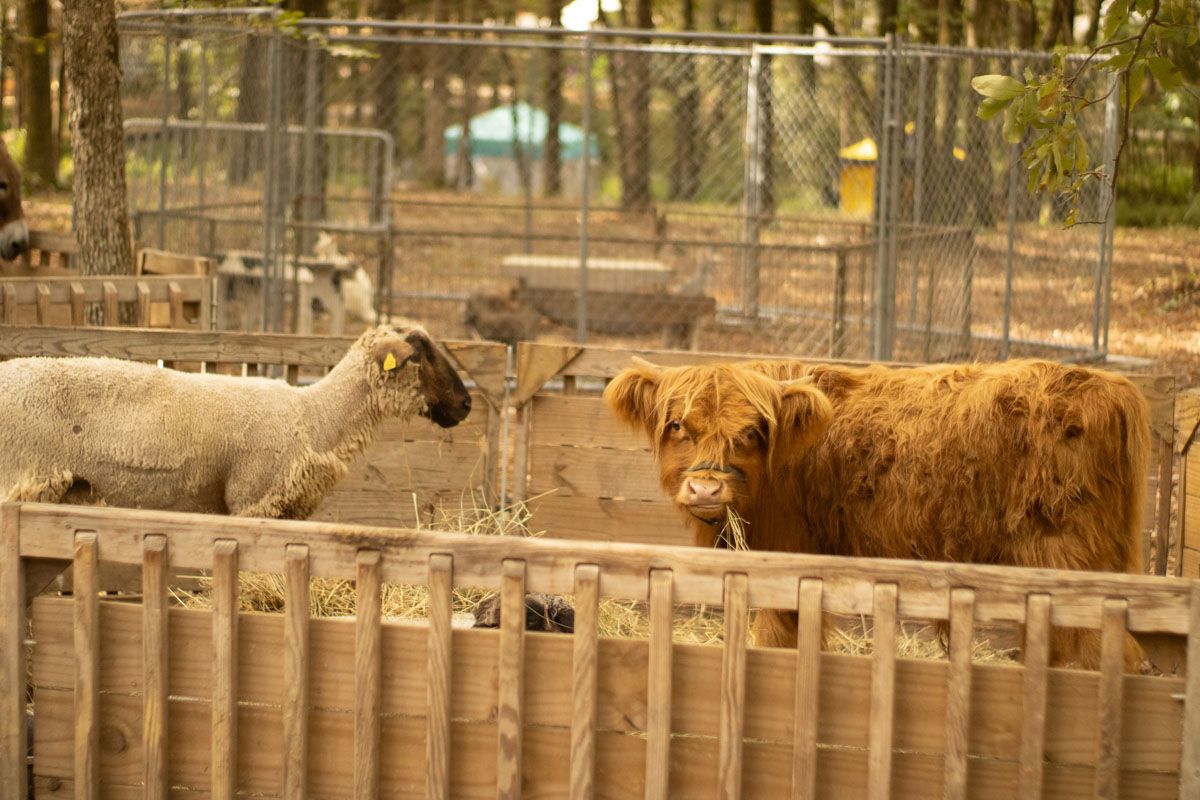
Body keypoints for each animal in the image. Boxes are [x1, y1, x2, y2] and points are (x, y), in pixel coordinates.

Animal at [603, 358, 1151, 670]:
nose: (706, 487)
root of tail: (1107, 386)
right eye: (678, 425)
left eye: (751, 433)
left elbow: (778, 638)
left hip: (1067, 556)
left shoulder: (788, 559)